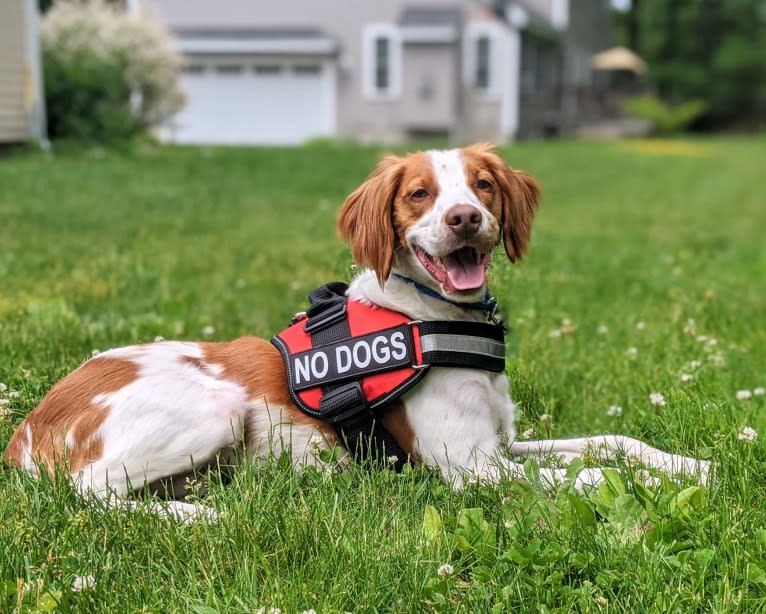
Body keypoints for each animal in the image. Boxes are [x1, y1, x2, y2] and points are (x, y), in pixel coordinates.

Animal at [0, 143, 712, 520]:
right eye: (419, 194)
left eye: (483, 185)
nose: (464, 217)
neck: (431, 318)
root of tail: (29, 427)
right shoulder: (470, 468)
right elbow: (591, 476)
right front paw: (654, 489)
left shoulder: (503, 445)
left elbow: (611, 442)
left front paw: (689, 464)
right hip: (215, 408)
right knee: (92, 493)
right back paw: (203, 515)